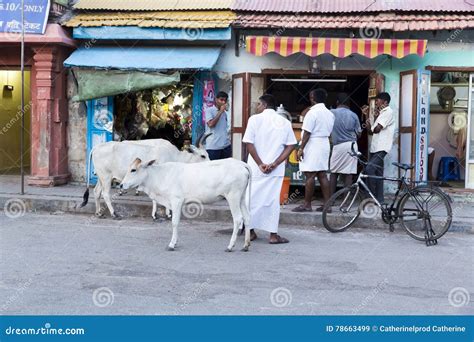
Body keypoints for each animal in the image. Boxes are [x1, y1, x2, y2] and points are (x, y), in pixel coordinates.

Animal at [80, 134, 210, 219]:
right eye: (203, 155)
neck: (175, 156)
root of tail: (96, 147)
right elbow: (155, 198)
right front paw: (156, 215)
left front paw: (167, 213)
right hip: (106, 177)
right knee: (105, 194)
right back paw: (114, 214)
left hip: (102, 177)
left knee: (97, 192)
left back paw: (99, 213)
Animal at [119, 158, 252, 251]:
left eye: (133, 170)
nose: (120, 185)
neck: (159, 176)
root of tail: (241, 164)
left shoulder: (176, 200)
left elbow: (175, 222)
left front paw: (172, 244)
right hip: (241, 198)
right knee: (247, 217)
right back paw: (246, 245)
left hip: (232, 197)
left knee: (238, 219)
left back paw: (230, 246)